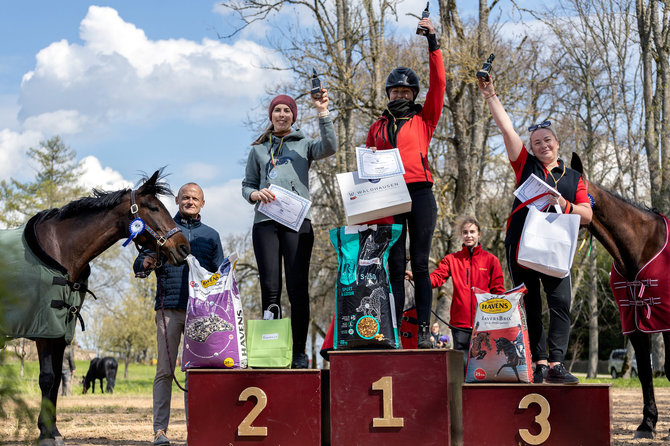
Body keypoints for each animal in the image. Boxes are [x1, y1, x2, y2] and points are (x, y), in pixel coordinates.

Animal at [0, 171, 189, 446]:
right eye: (154, 207)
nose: (184, 247)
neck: (60, 249)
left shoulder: (60, 333)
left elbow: (55, 384)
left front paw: (52, 431)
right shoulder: (43, 331)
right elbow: (47, 379)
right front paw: (45, 435)